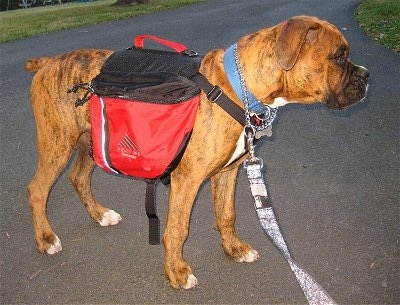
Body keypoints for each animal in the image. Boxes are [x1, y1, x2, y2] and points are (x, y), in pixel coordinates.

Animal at [25, 16, 368, 288]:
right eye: (339, 57)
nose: (366, 75)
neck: (239, 88)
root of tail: (49, 61)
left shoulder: (228, 172)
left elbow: (226, 214)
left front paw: (234, 249)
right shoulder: (187, 180)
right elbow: (177, 228)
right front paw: (176, 272)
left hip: (90, 142)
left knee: (79, 178)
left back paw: (100, 215)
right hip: (57, 144)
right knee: (38, 189)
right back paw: (46, 239)